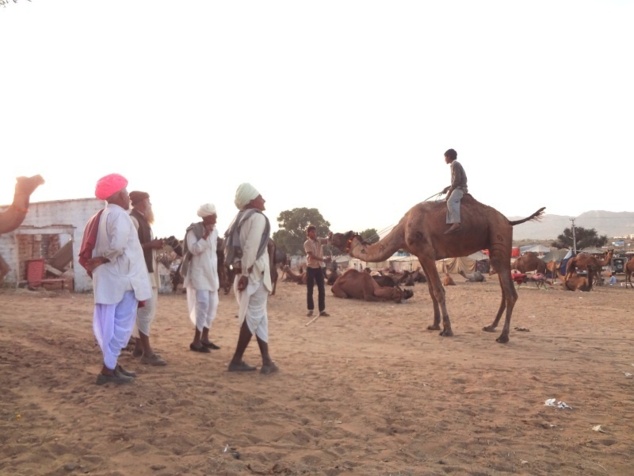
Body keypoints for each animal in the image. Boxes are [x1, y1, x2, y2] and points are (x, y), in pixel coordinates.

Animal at [326, 193, 544, 342]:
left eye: (341, 235)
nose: (328, 235)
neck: (403, 230)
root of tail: (509, 221)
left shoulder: (426, 252)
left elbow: (439, 290)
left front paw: (446, 329)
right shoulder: (421, 256)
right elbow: (431, 291)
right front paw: (434, 324)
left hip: (499, 239)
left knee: (510, 292)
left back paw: (503, 337)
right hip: (495, 245)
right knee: (504, 290)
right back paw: (491, 326)